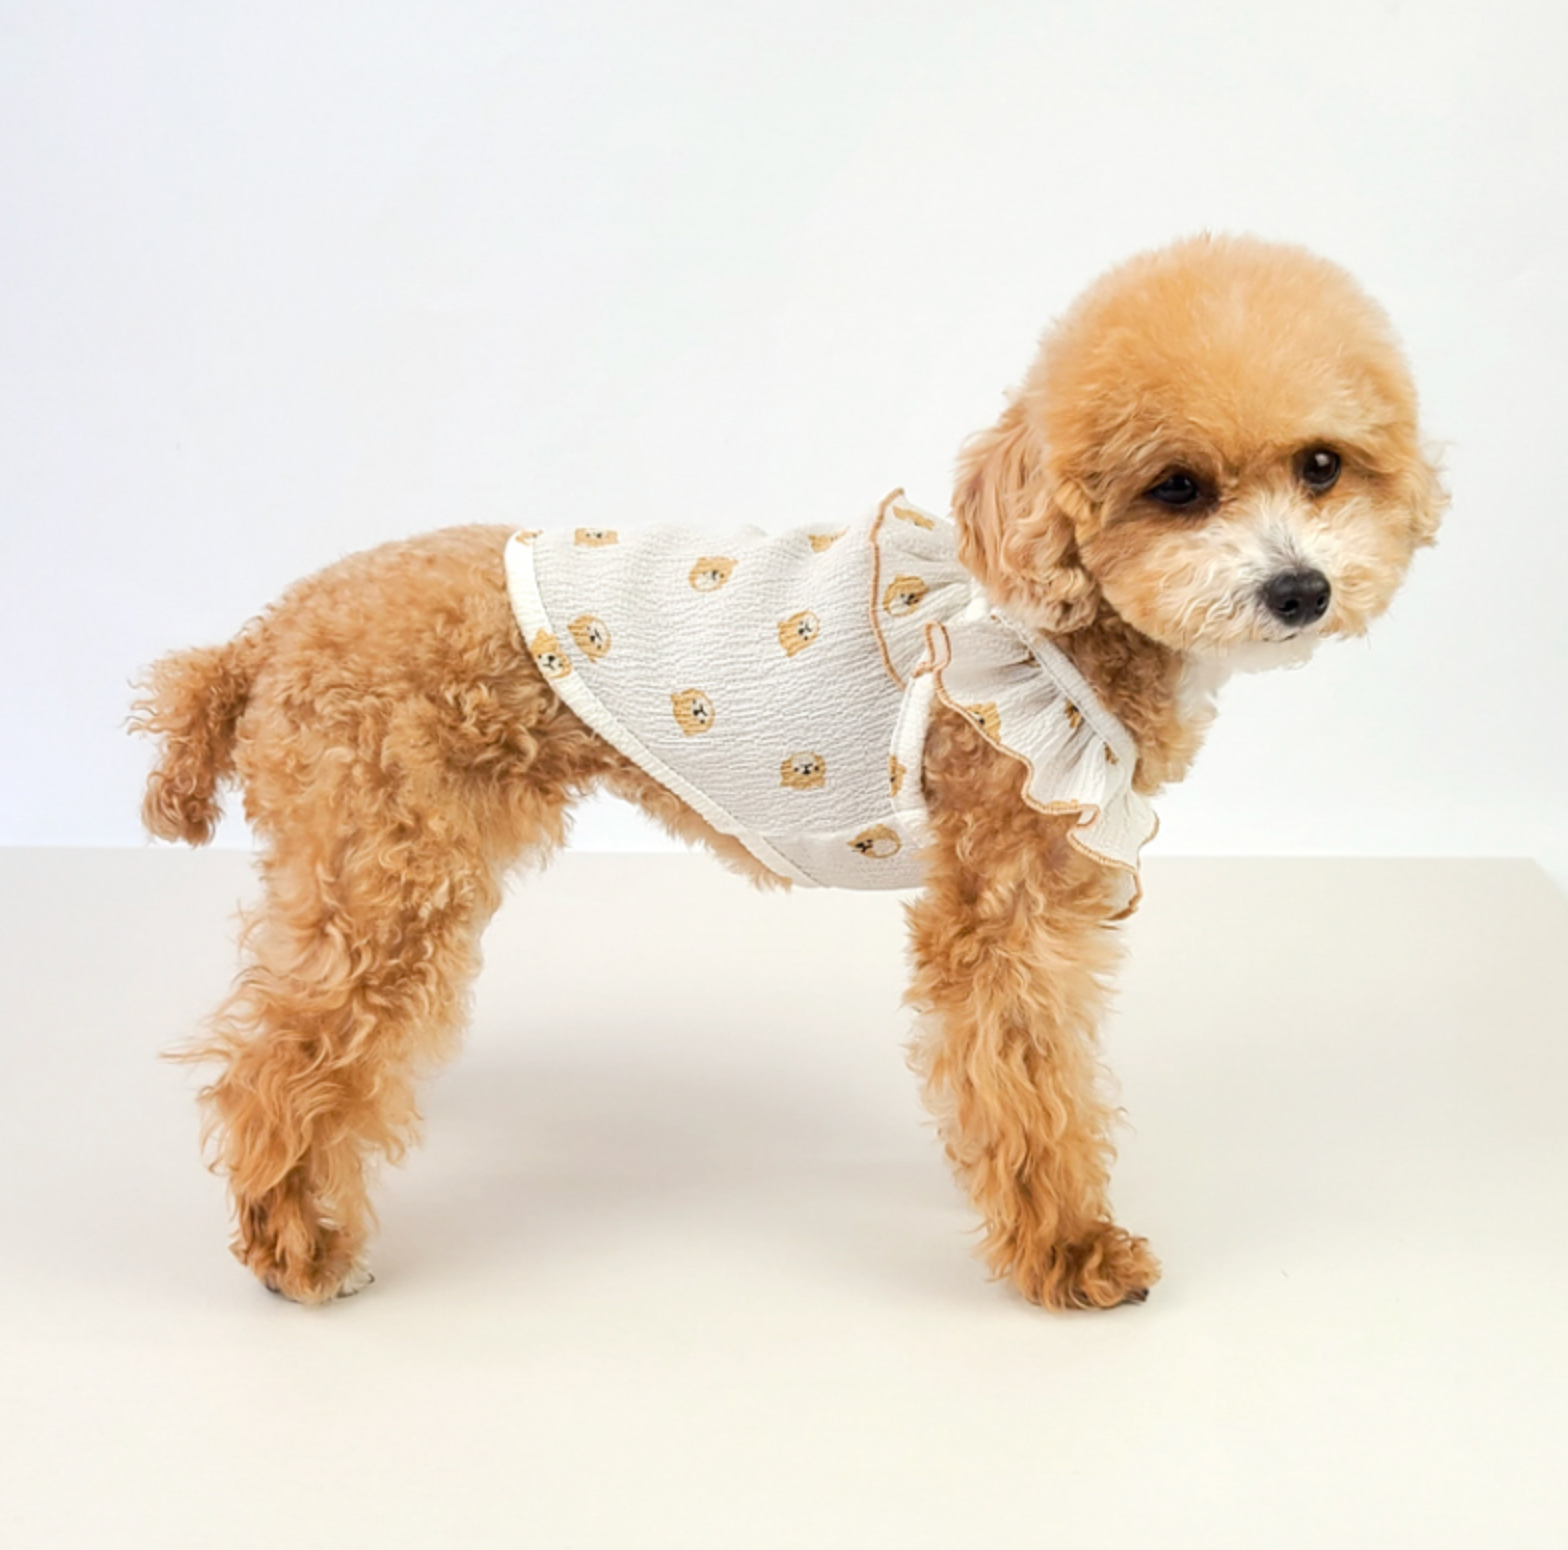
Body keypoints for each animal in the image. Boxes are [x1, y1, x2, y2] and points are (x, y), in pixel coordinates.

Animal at [133, 234, 1445, 1309]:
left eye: (1319, 465)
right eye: (1174, 487)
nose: (1298, 589)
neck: (1055, 625)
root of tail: (257, 640)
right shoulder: (1001, 902)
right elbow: (1026, 1073)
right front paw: (1069, 1252)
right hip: (383, 871)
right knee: (279, 1062)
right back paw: (298, 1247)